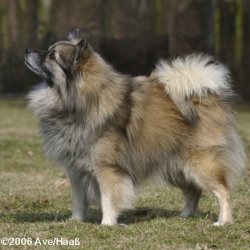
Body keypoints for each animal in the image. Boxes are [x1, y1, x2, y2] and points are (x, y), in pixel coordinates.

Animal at [24, 29, 244, 227]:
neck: (81, 101)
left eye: (51, 56)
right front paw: (75, 221)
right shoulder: (76, 172)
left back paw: (223, 222)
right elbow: (78, 200)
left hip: (199, 165)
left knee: (222, 191)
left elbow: (108, 200)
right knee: (194, 191)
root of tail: (205, 95)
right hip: (176, 169)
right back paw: (184, 216)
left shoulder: (106, 170)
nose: (27, 49)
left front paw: (107, 224)